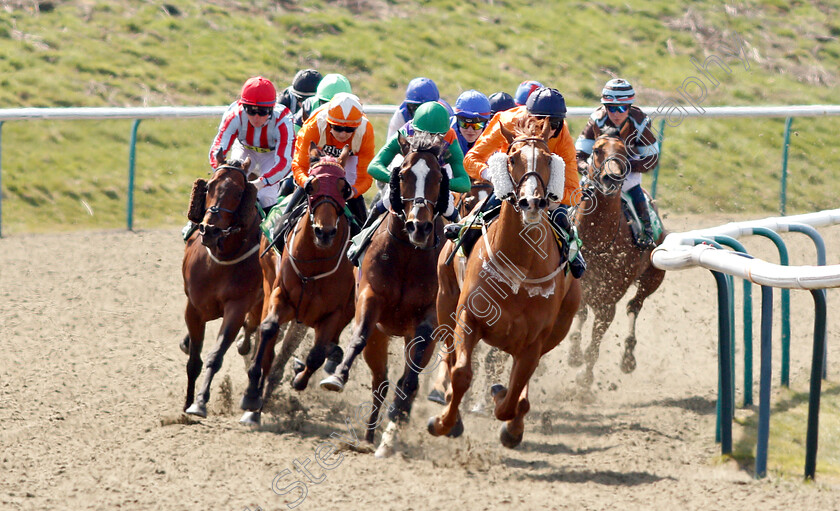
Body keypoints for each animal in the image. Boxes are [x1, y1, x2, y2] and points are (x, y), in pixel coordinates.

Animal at [181, 157, 260, 420]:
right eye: (210, 186)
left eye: (239, 192)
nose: (210, 229)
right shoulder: (194, 308)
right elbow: (194, 361)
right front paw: (187, 404)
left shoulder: (237, 307)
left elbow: (215, 356)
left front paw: (200, 402)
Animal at [240, 145, 354, 424]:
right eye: (311, 186)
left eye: (343, 188)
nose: (324, 232)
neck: (314, 266)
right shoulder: (281, 295)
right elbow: (268, 330)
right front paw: (251, 394)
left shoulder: (332, 313)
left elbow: (317, 353)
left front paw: (298, 378)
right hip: (269, 282)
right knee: (265, 333)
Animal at [320, 132, 452, 460]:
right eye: (402, 174)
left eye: (438, 177)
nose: (419, 226)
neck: (408, 254)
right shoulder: (371, 297)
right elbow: (358, 337)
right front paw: (336, 377)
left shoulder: (428, 318)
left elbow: (411, 379)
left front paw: (394, 427)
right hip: (380, 338)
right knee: (379, 382)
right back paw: (368, 436)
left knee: (405, 383)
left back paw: (389, 435)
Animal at [430, 116, 580, 448]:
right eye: (512, 158)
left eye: (548, 158)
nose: (531, 202)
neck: (519, 267)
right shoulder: (468, 316)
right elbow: (461, 373)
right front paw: (444, 422)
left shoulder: (535, 340)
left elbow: (512, 399)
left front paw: (506, 412)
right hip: (445, 300)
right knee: (449, 355)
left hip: (556, 331)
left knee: (521, 388)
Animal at [568, 126, 668, 386]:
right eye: (596, 150)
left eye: (624, 151)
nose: (611, 178)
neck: (598, 240)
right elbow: (580, 315)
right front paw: (574, 353)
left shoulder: (608, 301)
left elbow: (595, 345)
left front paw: (585, 379)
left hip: (653, 278)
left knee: (634, 306)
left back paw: (628, 358)